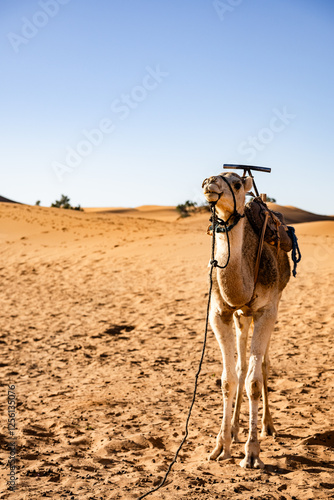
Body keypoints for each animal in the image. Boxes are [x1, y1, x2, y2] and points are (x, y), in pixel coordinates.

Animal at [201, 171, 290, 468]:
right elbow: (228, 379)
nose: (210, 182)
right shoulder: (220, 313)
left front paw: (252, 453)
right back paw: (236, 428)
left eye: (237, 183)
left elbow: (254, 380)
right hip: (242, 316)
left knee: (262, 365)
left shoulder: (266, 311)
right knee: (241, 366)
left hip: (274, 303)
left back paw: (267, 426)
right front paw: (221, 446)